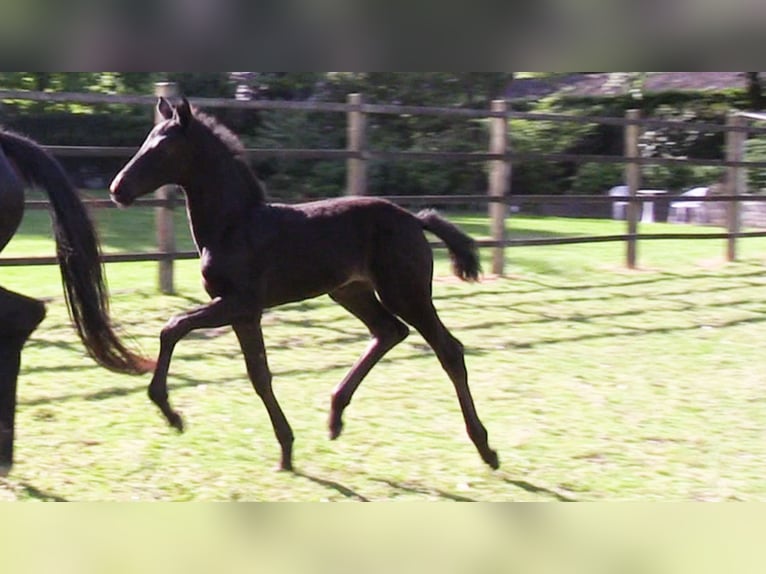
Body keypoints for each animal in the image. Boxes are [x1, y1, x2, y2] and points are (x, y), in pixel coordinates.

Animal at [109, 97, 498, 471]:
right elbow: (259, 374)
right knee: (389, 331)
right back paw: (335, 415)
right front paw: (286, 449)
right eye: (146, 141)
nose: (117, 189)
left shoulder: (241, 303)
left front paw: (170, 412)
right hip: (350, 291)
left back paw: (486, 448)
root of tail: (414, 219)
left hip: (406, 292)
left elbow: (172, 328)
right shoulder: (243, 313)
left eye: (164, 148)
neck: (233, 225)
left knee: (448, 350)